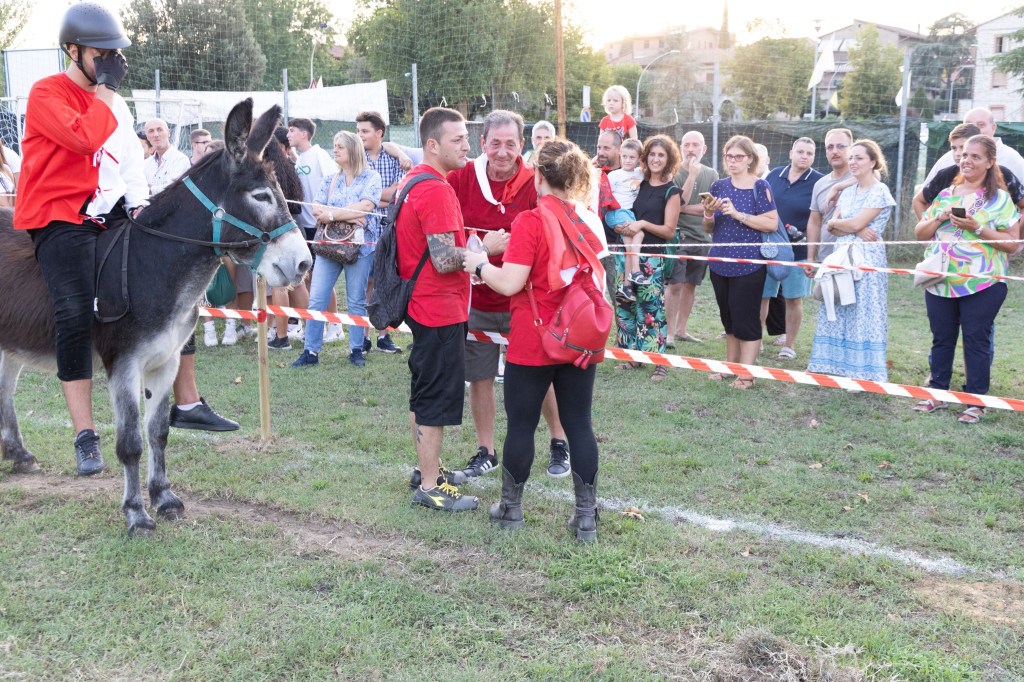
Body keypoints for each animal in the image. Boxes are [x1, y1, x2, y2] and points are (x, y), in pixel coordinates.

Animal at [0, 99, 312, 535]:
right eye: (262, 195)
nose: (304, 263)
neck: (151, 264)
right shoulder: (124, 365)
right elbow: (130, 442)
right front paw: (135, 513)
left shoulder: (165, 361)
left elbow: (159, 432)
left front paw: (164, 497)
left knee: (5, 390)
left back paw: (18, 453)